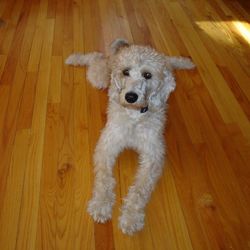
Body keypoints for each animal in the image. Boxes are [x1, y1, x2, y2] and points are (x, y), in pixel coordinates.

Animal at [65, 39, 194, 234]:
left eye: (147, 75)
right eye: (126, 71)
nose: (130, 96)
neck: (134, 117)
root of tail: (124, 46)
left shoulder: (153, 156)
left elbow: (140, 190)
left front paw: (131, 218)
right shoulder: (107, 145)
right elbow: (104, 179)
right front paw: (101, 205)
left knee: (171, 61)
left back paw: (186, 62)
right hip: (100, 76)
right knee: (95, 57)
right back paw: (74, 58)